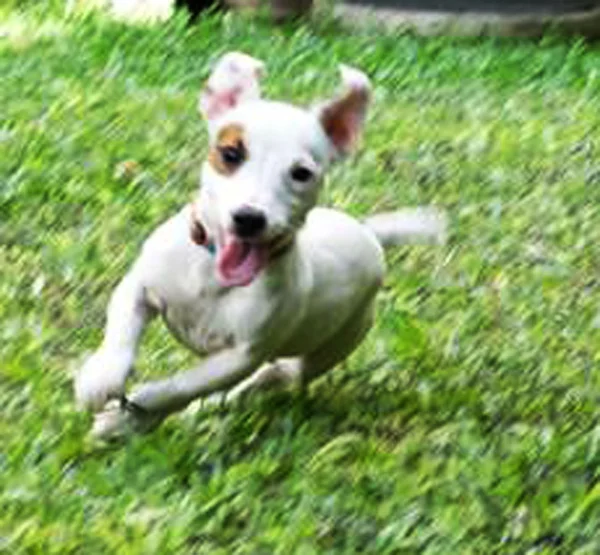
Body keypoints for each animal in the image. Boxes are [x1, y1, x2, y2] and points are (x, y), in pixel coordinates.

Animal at [74, 52, 446, 438]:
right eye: (230, 153)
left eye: (301, 173)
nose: (249, 218)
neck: (211, 273)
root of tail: (367, 231)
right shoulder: (141, 285)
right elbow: (122, 329)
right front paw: (101, 376)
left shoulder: (240, 356)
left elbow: (181, 387)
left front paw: (132, 415)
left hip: (338, 338)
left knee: (274, 374)